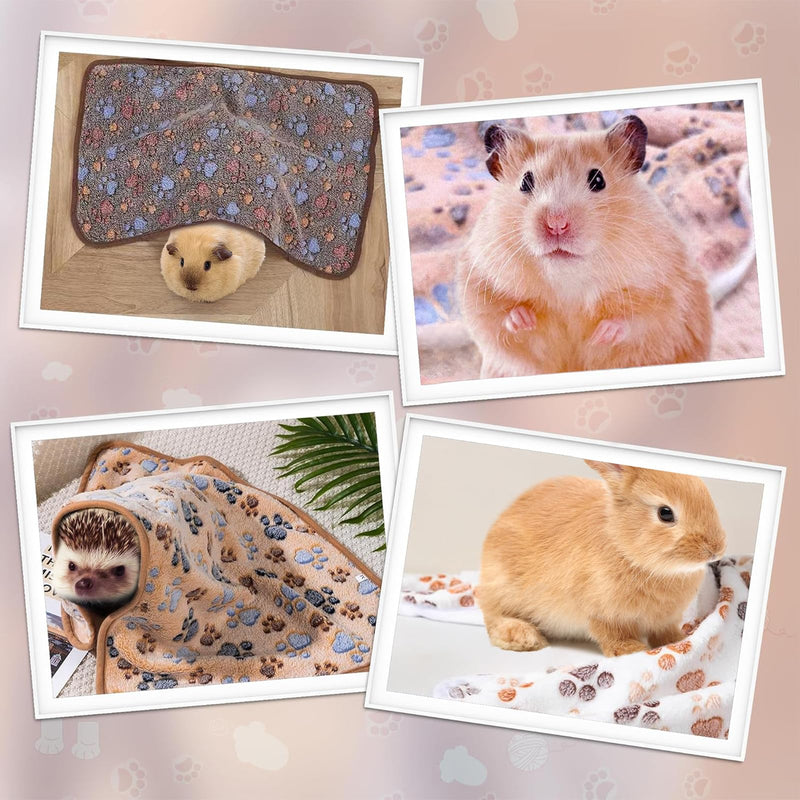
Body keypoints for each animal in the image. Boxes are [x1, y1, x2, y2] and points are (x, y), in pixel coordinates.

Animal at [458, 116, 716, 377]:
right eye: (525, 181)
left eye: (598, 180)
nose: (556, 224)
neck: (568, 281)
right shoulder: (479, 283)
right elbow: (498, 316)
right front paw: (523, 319)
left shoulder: (667, 293)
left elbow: (643, 320)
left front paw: (602, 334)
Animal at [478, 460, 727, 657]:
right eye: (665, 513)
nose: (716, 549)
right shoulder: (604, 614)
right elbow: (612, 634)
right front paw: (630, 650)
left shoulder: (664, 620)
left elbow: (665, 632)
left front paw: (679, 640)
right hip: (502, 586)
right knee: (493, 616)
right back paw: (524, 637)